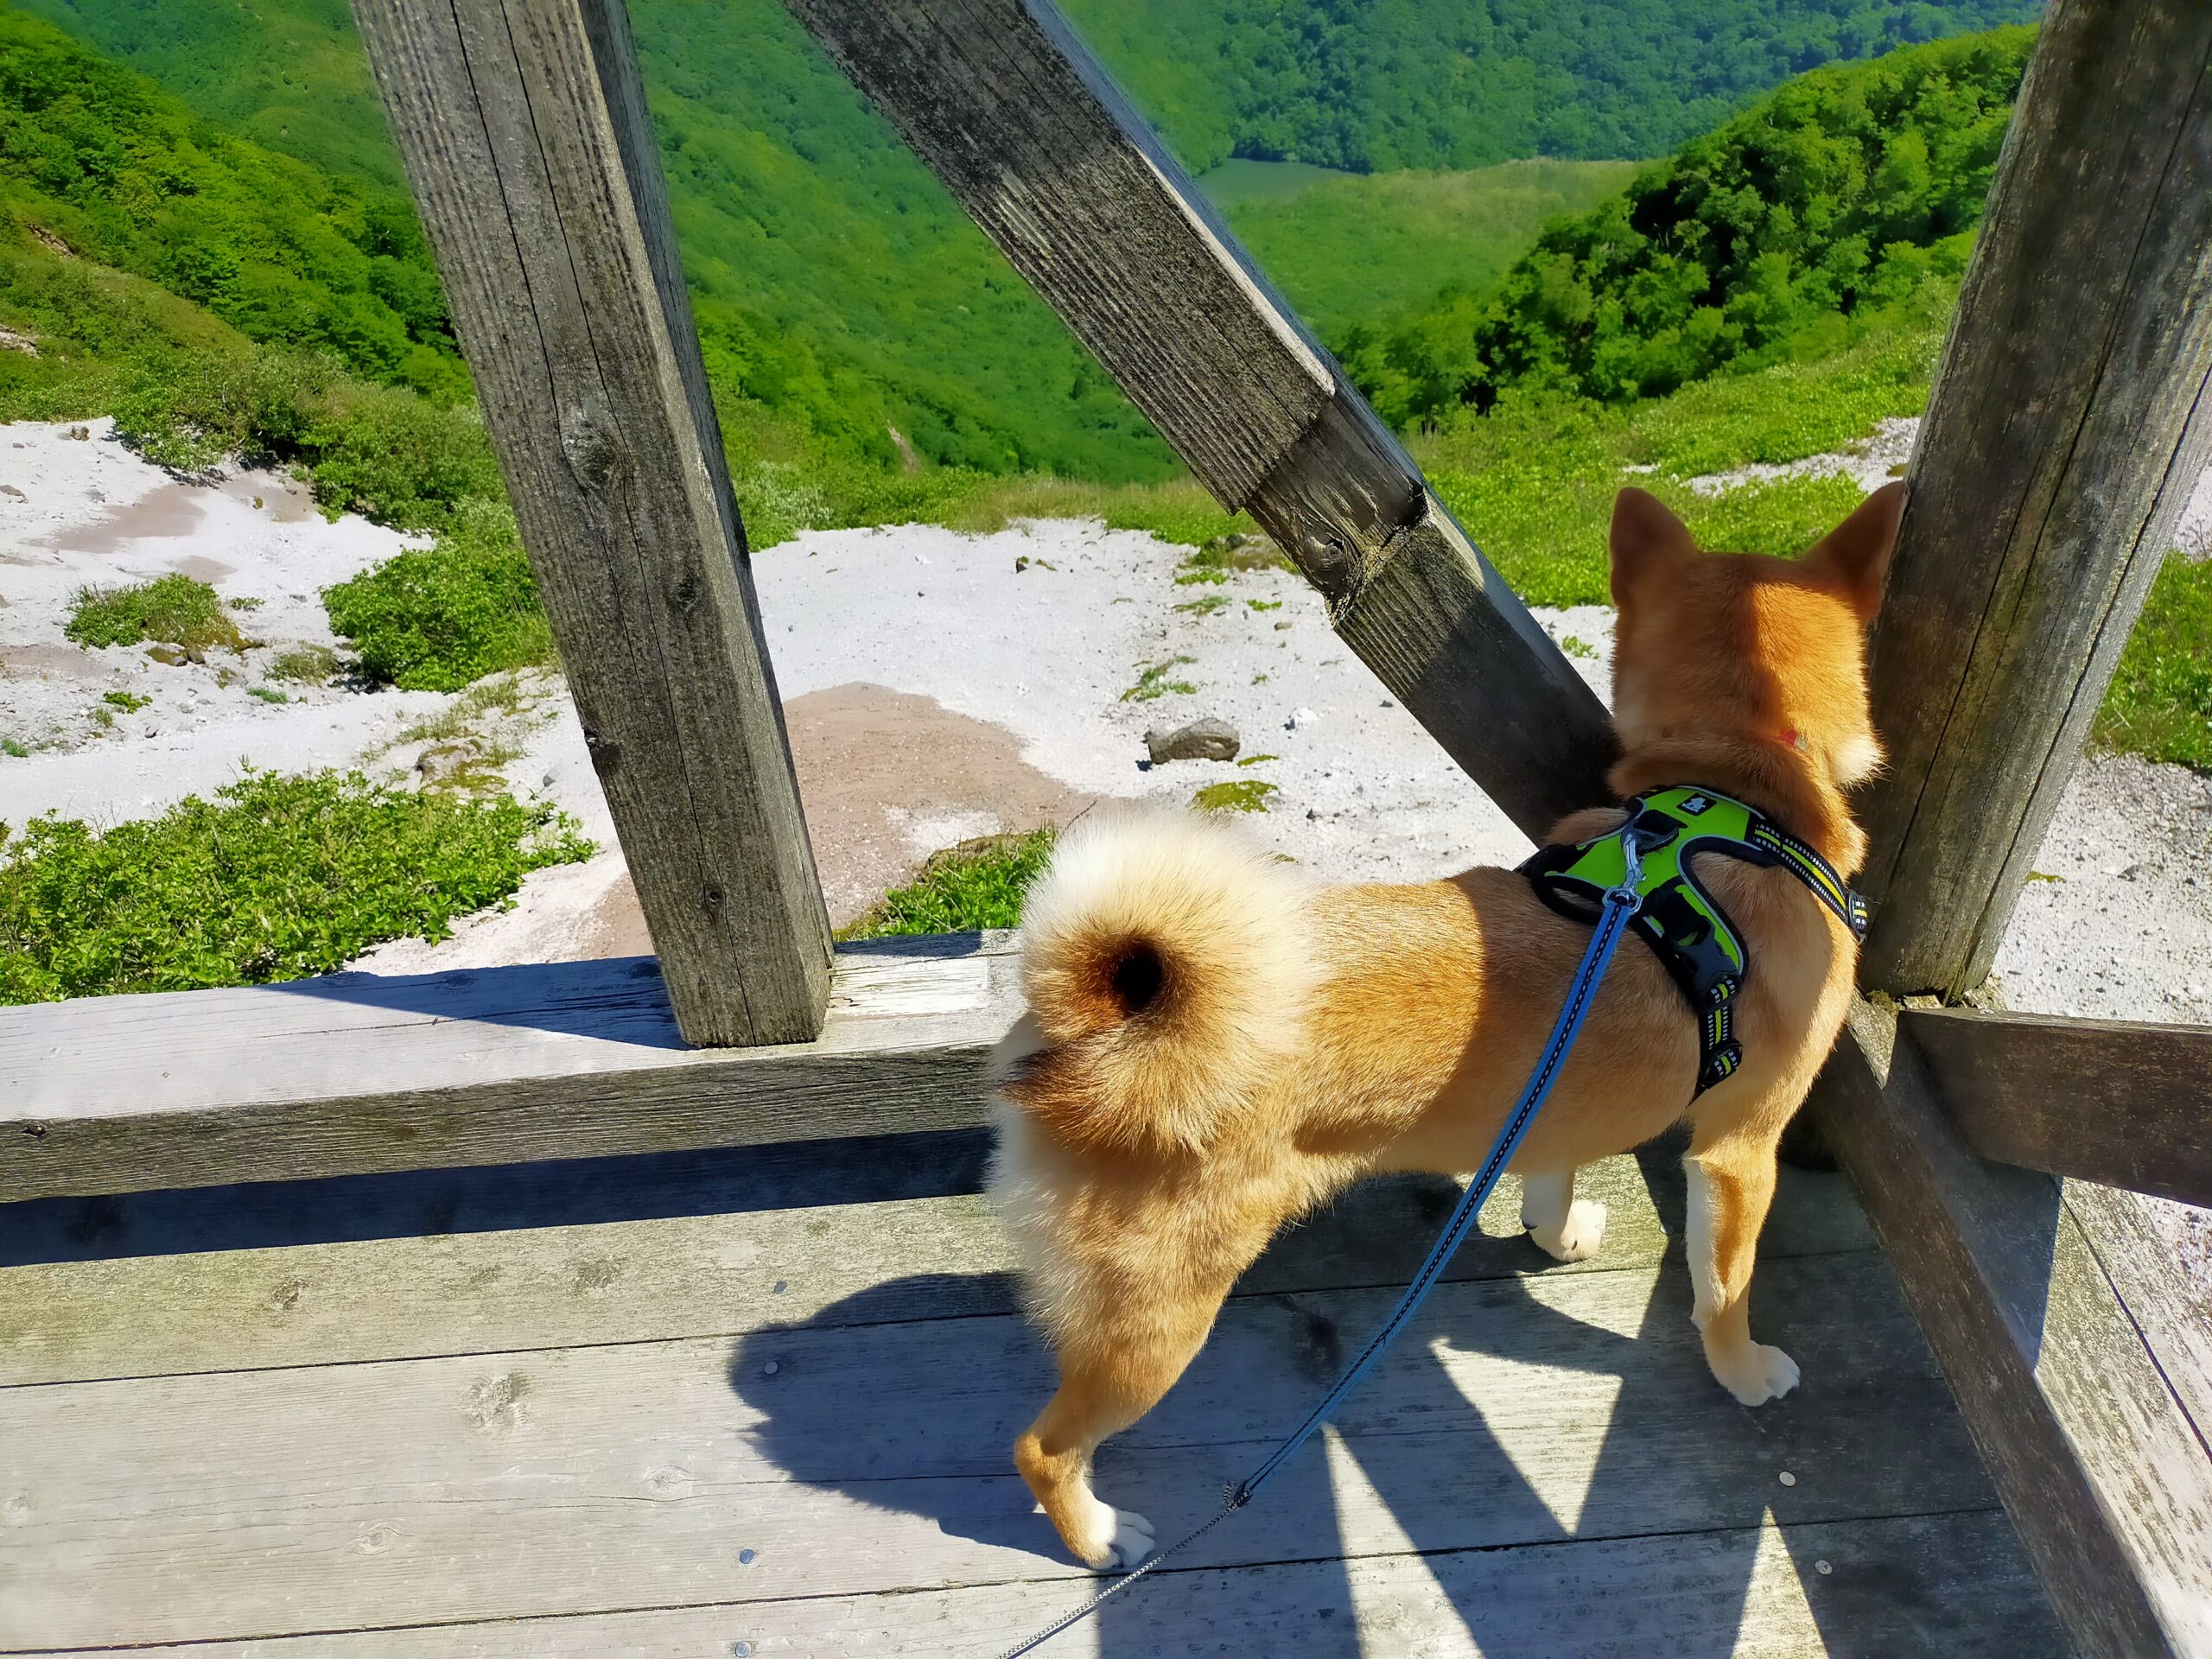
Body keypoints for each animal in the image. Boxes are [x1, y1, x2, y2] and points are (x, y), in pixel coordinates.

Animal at [986, 480, 1902, 1574]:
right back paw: (1099, 1537)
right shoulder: (1738, 1152)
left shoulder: (1555, 1106)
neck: (1738, 787)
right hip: (1158, 1321)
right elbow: (1724, 1287)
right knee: (1042, 1448)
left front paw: (1559, 1233)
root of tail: (1094, 1024)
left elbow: (1553, 1179)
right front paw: (1744, 1371)